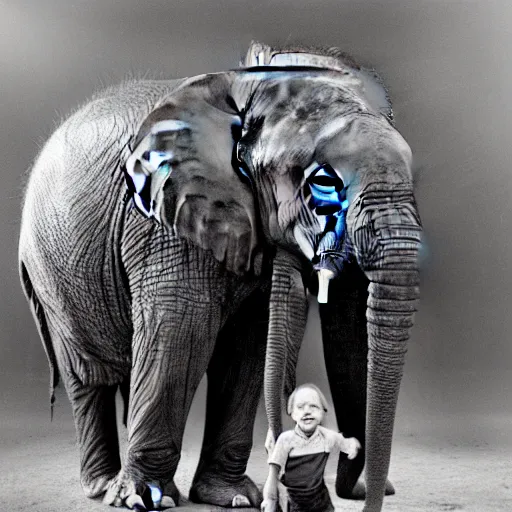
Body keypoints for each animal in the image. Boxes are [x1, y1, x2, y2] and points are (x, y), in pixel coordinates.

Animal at [19, 41, 420, 512]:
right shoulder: (162, 222)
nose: (361, 494)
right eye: (322, 181)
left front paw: (233, 498)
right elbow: (182, 331)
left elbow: (250, 344)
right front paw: (147, 498)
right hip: (51, 274)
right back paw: (106, 489)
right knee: (87, 376)